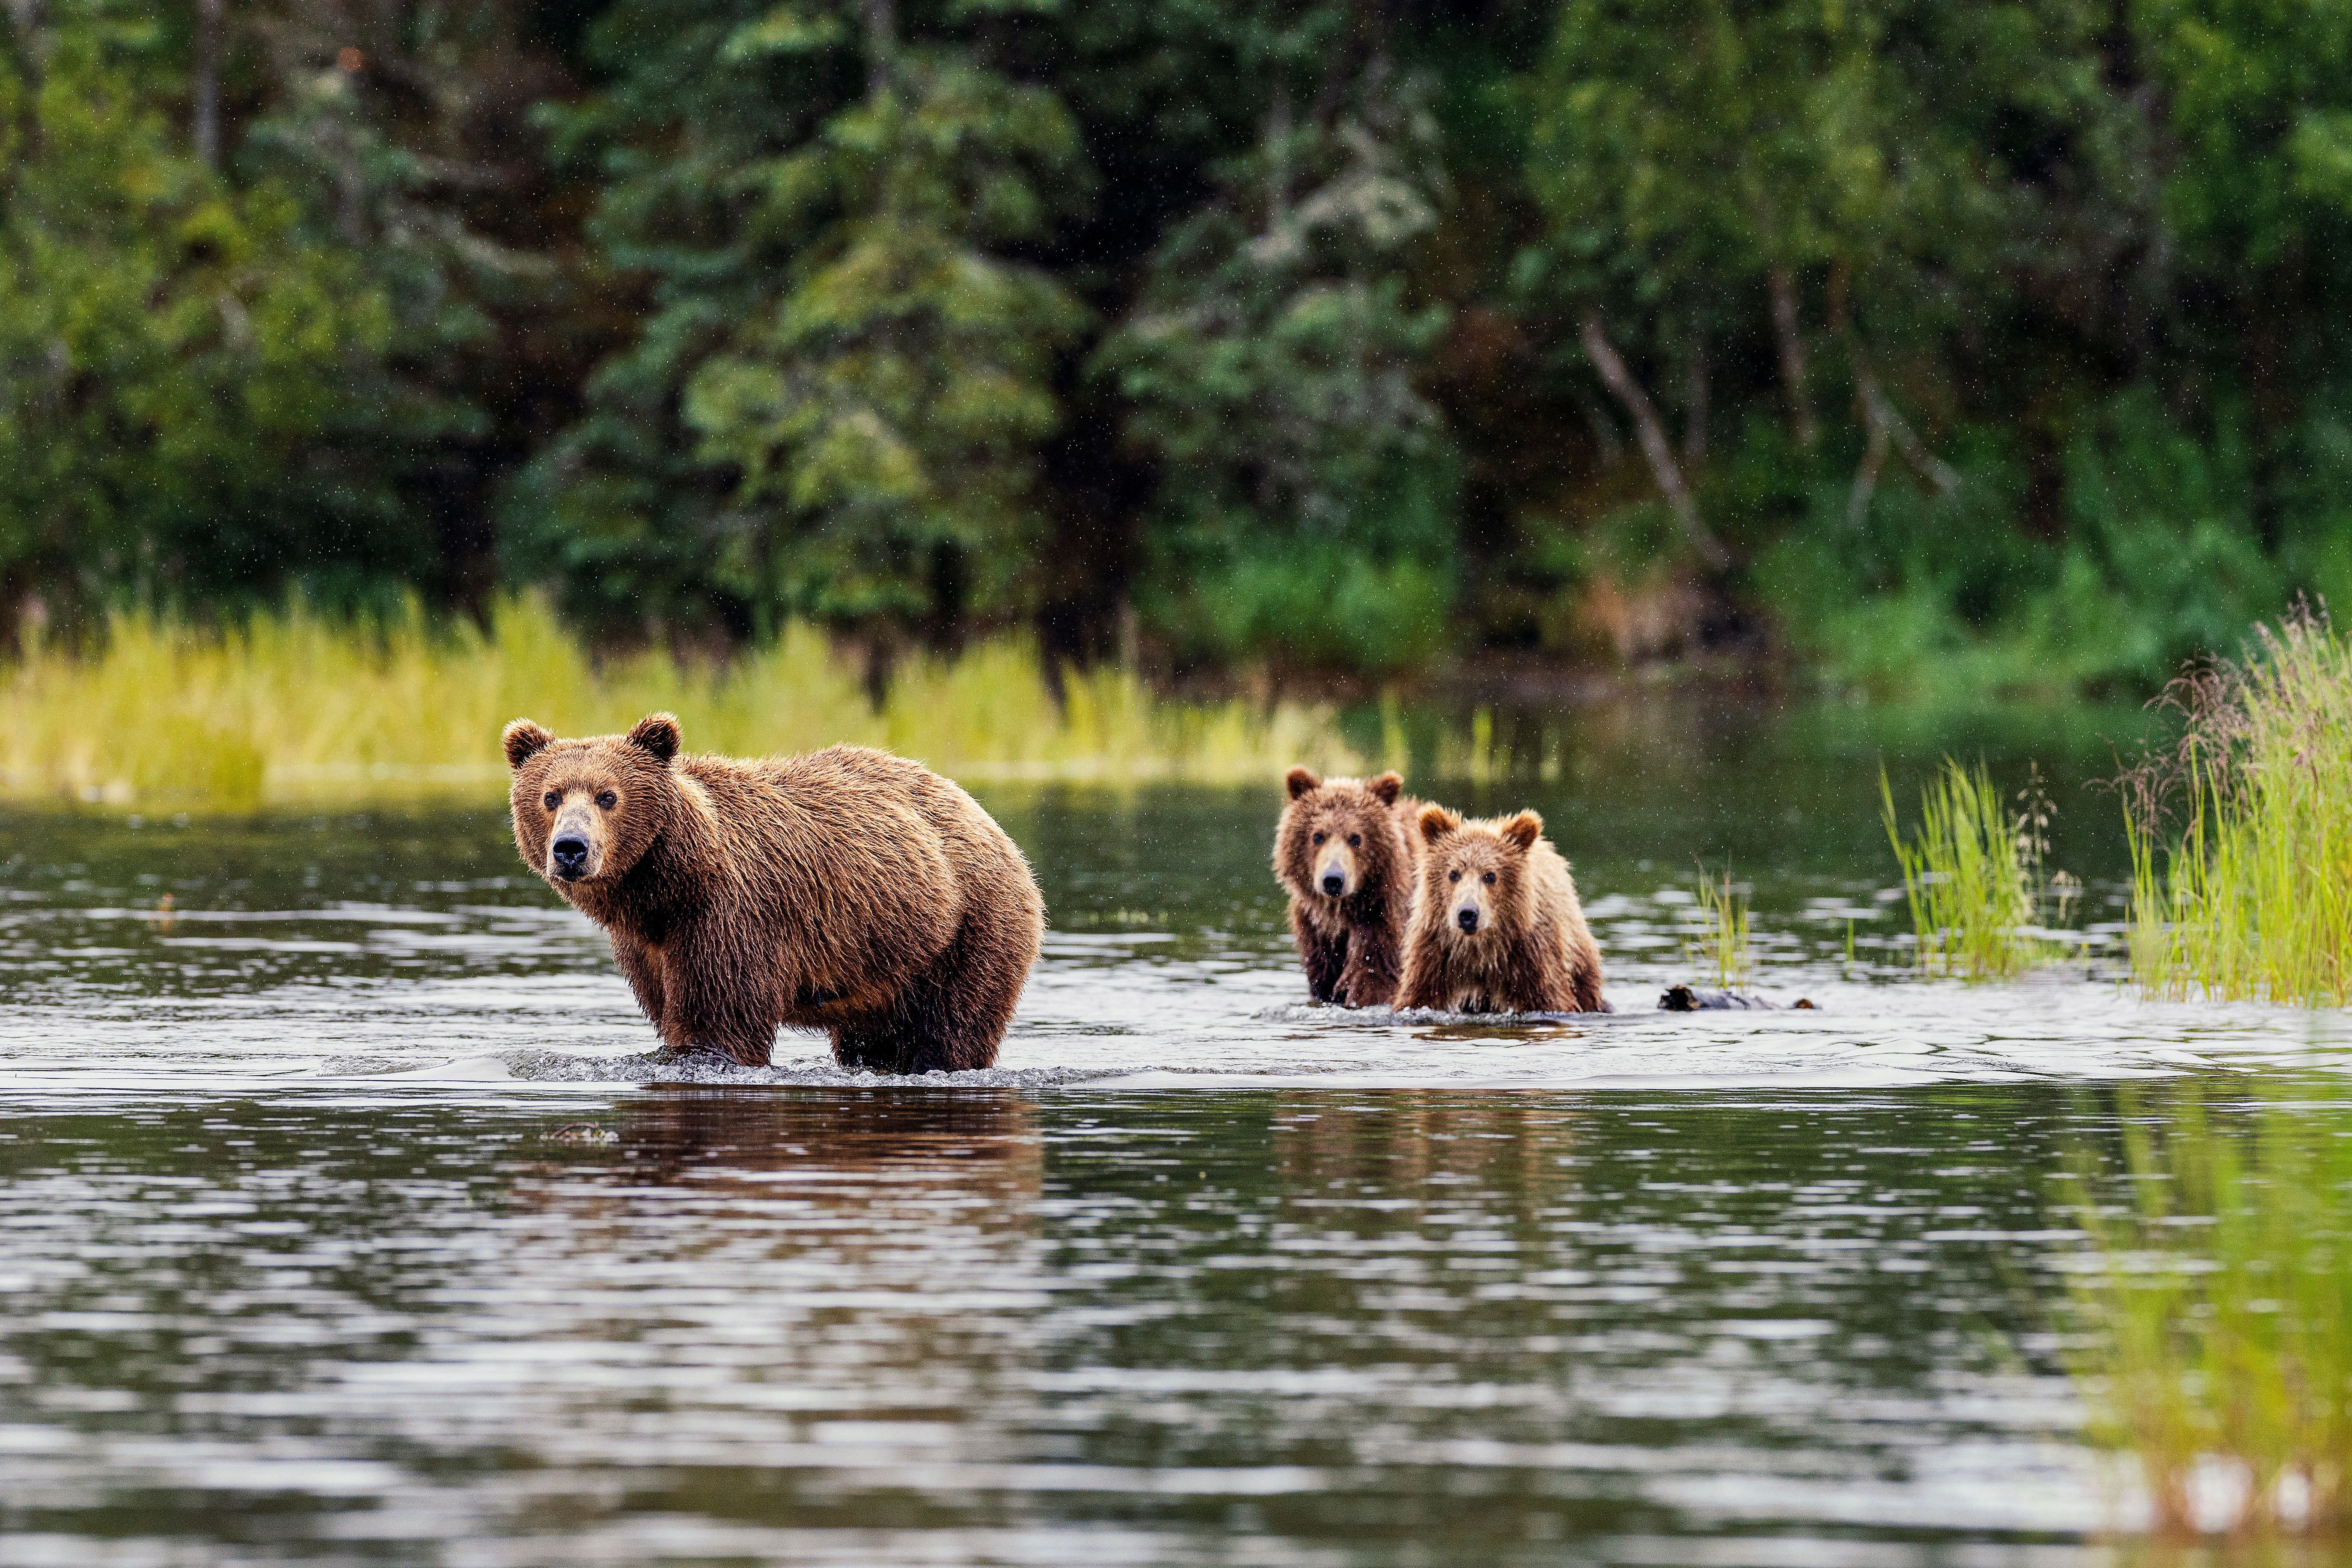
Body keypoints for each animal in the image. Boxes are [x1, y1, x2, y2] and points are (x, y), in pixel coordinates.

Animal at [502, 712, 1045, 1073]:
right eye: (550, 796)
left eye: (608, 796)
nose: (571, 848)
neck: (666, 888)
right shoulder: (648, 947)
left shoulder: (731, 918)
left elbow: (719, 1023)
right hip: (886, 964)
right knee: (872, 1039)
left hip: (968, 929)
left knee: (952, 1029)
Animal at [1272, 766, 1425, 1007]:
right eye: (1318, 836)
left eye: (1356, 838)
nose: (1333, 879)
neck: (1341, 914)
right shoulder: (1316, 935)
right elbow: (1323, 981)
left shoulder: (1381, 921)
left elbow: (1373, 979)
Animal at [1394, 805, 1608, 1014]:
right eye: (1453, 874)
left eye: (1490, 875)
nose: (1468, 914)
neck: (1480, 952)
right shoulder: (1435, 955)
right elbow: (1418, 997)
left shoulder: (1532, 959)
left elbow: (1549, 999)